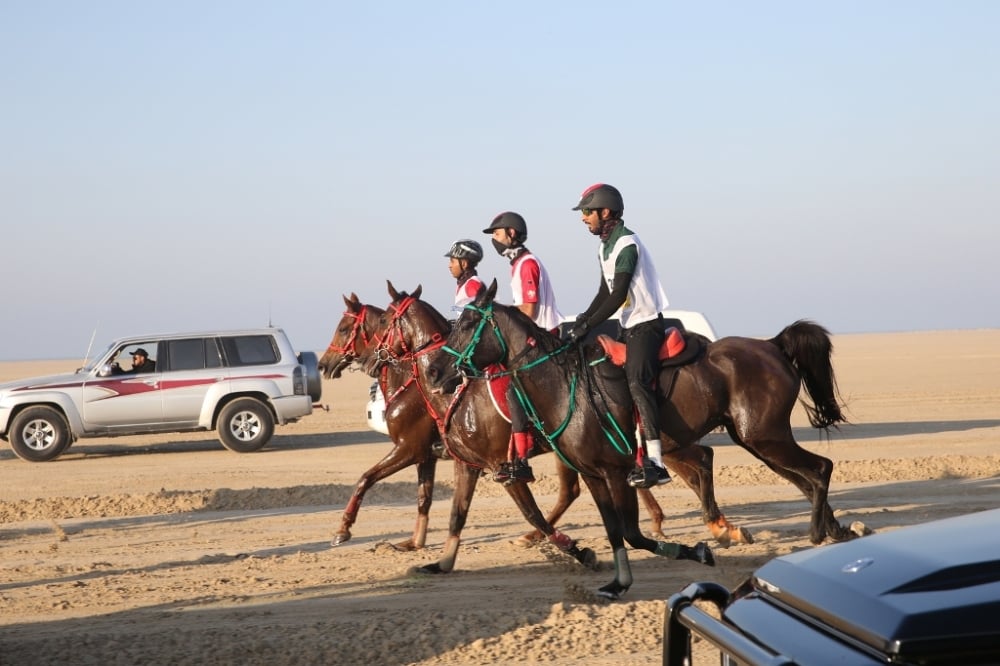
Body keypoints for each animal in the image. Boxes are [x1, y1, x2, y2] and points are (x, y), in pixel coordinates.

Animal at [372, 280, 716, 596]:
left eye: (384, 320)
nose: (436, 373)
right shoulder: (467, 463)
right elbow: (458, 513)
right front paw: (440, 563)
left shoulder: (498, 464)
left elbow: (532, 513)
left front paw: (580, 552)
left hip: (661, 442)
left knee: (698, 460)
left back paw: (716, 526)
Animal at [426, 278, 856, 556]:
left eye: (468, 324)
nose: (434, 371)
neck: (561, 383)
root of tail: (772, 345)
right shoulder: (592, 472)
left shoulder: (612, 472)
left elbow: (626, 530)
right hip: (754, 440)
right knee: (797, 477)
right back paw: (830, 529)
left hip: (764, 436)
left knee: (819, 469)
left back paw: (816, 532)